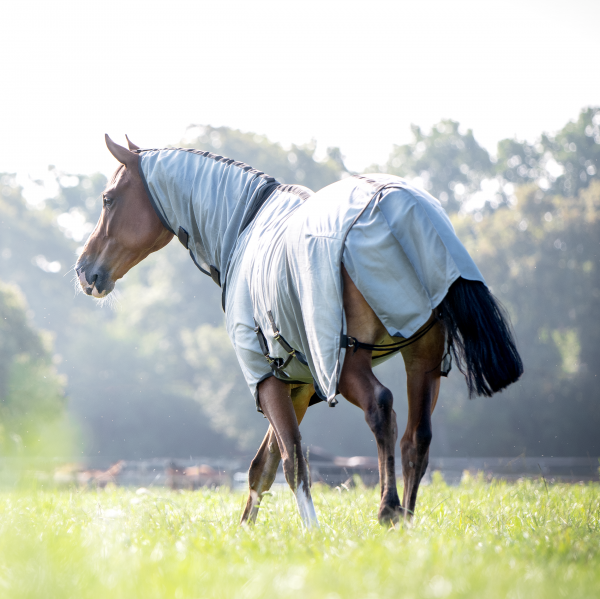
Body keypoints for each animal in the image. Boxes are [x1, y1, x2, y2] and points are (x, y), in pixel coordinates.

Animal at [75, 137, 524, 528]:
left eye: (108, 199)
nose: (84, 270)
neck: (245, 227)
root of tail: (403, 208)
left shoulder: (267, 377)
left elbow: (292, 462)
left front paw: (312, 532)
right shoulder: (300, 384)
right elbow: (263, 466)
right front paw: (245, 533)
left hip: (350, 364)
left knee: (382, 409)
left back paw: (388, 511)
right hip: (423, 359)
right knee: (417, 438)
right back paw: (408, 522)